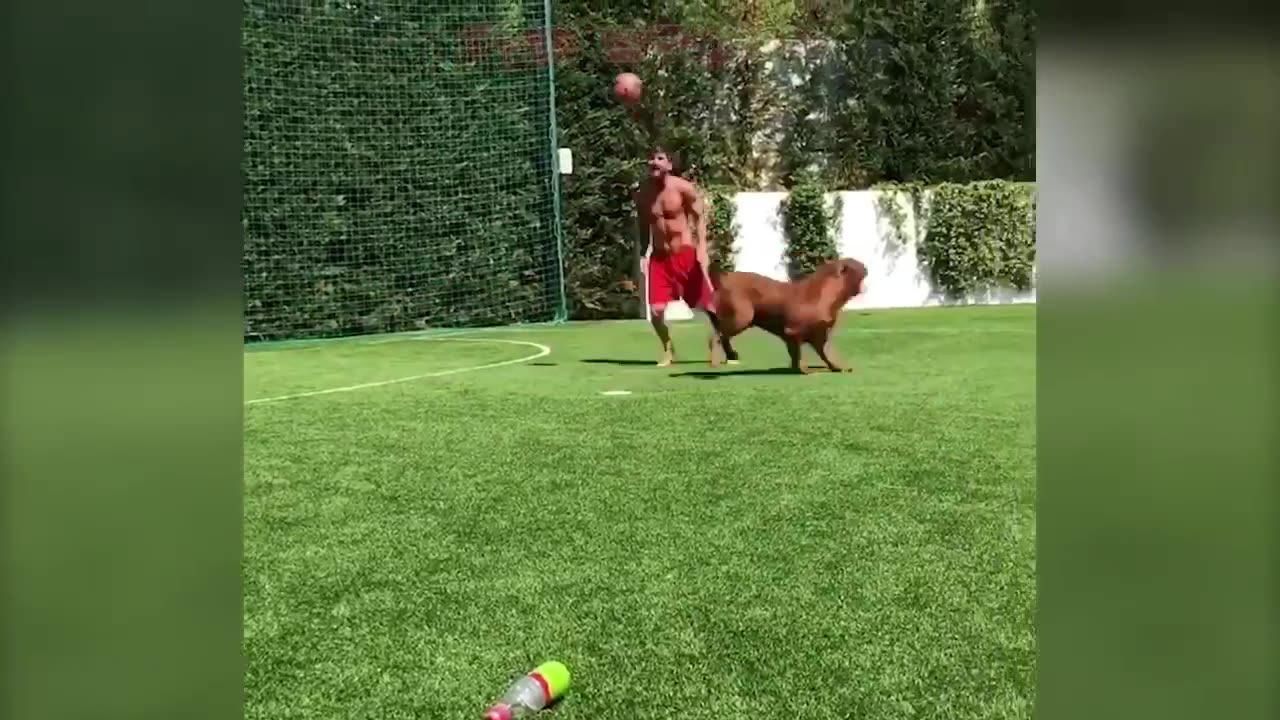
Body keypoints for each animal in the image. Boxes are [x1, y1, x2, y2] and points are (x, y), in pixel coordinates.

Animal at [711, 256, 870, 368]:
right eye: (854, 263)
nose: (866, 266)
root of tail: (725, 277)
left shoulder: (821, 334)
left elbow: (826, 353)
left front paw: (838, 366)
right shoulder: (793, 332)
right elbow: (798, 353)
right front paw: (804, 370)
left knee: (722, 337)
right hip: (741, 319)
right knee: (716, 337)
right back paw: (715, 361)